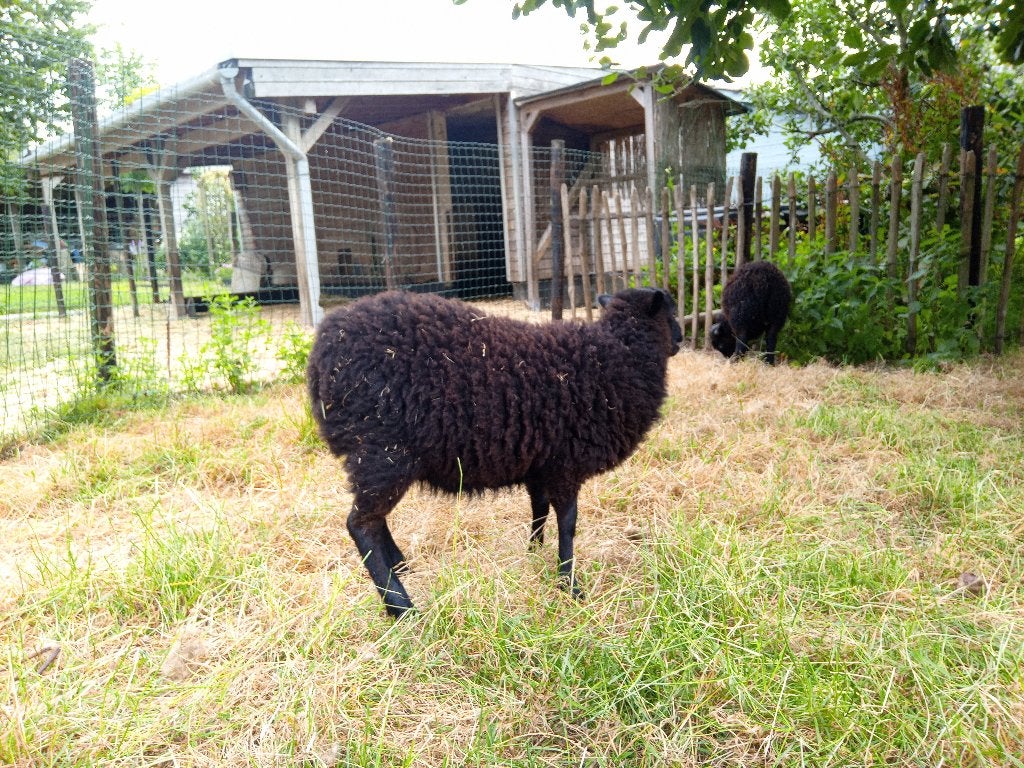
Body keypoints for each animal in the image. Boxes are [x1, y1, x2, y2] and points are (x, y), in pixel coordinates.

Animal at [307, 287, 683, 618]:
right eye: (672, 312)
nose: (681, 339)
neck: (617, 356)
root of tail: (320, 357)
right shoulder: (566, 464)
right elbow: (568, 523)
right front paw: (569, 584)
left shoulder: (539, 461)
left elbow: (538, 509)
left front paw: (534, 552)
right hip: (382, 452)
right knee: (361, 524)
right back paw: (401, 606)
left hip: (377, 457)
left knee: (375, 519)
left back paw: (402, 568)